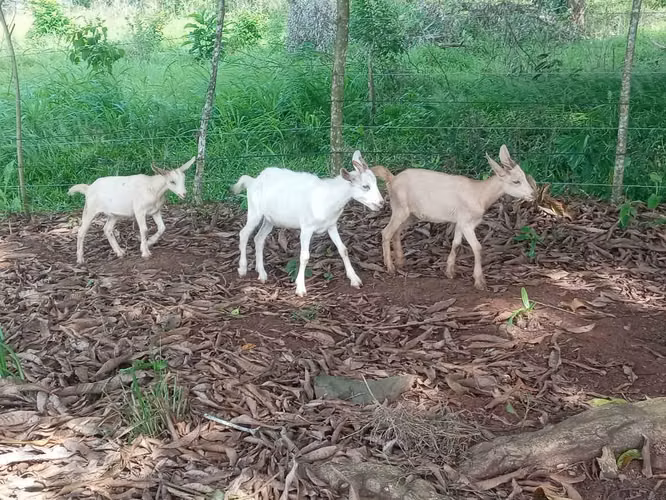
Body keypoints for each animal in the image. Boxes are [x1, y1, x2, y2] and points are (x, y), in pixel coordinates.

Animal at [67, 157, 195, 265]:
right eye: (172, 182)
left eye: (184, 180)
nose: (184, 194)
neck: (152, 188)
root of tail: (88, 188)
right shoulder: (139, 210)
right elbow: (144, 229)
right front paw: (145, 252)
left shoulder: (155, 211)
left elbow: (162, 227)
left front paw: (149, 242)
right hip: (90, 209)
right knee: (81, 231)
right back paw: (80, 259)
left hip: (113, 214)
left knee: (107, 229)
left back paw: (120, 252)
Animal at [231, 151, 384, 297]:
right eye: (365, 186)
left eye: (376, 183)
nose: (381, 203)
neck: (328, 197)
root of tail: (253, 181)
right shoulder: (306, 228)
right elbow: (304, 257)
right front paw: (300, 288)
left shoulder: (331, 225)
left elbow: (343, 249)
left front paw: (355, 279)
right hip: (255, 212)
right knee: (244, 233)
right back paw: (243, 268)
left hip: (270, 220)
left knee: (259, 238)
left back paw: (262, 273)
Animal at [372, 145, 535, 290]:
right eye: (516, 181)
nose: (533, 194)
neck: (479, 194)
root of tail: (392, 179)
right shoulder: (467, 223)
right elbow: (477, 247)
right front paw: (479, 281)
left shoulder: (460, 222)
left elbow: (456, 244)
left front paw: (449, 271)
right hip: (400, 209)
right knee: (386, 232)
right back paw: (390, 267)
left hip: (412, 215)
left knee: (396, 231)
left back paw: (400, 261)